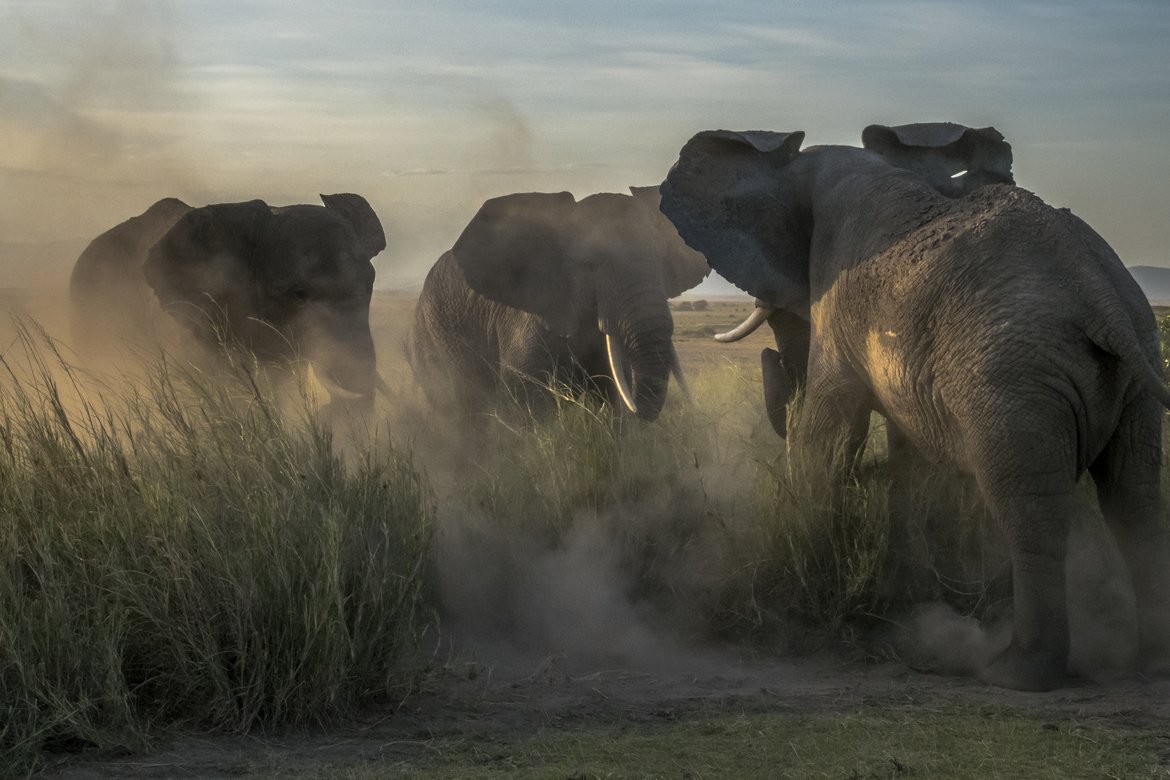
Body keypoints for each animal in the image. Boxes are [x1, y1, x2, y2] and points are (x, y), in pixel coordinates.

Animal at [409, 186, 710, 421]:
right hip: (431, 333)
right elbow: (526, 392)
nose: (637, 412)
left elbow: (610, 386)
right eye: (589, 265)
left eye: (662, 258)